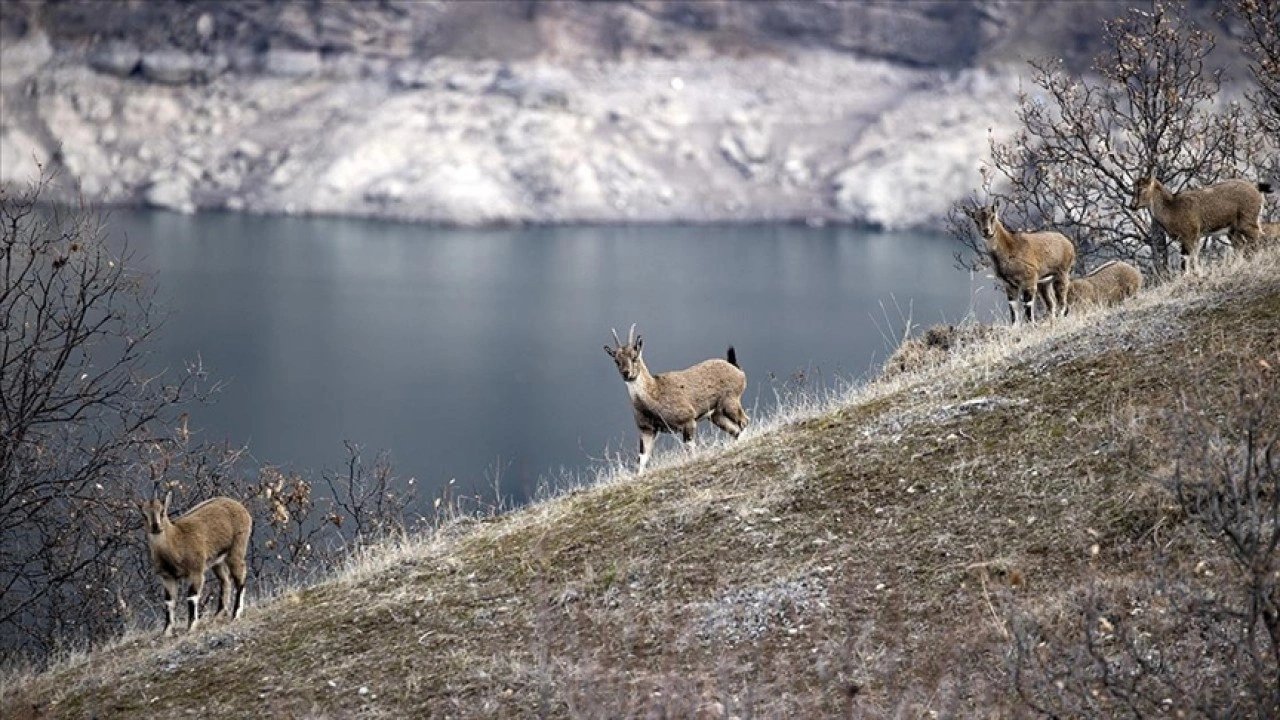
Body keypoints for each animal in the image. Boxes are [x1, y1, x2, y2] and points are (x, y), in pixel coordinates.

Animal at [140, 486, 252, 632]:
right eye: (144, 514)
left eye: (162, 511)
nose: (155, 527)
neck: (175, 543)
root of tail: (240, 507)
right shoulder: (167, 577)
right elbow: (169, 602)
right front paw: (167, 631)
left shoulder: (196, 570)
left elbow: (191, 596)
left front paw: (191, 626)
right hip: (217, 561)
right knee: (225, 580)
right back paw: (216, 616)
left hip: (236, 549)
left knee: (240, 578)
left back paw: (235, 615)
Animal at [601, 324, 747, 471]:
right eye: (616, 361)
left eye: (634, 357)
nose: (626, 373)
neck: (654, 393)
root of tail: (736, 368)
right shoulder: (647, 430)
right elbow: (641, 459)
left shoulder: (688, 422)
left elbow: (690, 449)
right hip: (716, 415)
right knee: (735, 431)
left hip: (730, 401)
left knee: (744, 422)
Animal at [1131, 175, 1269, 272]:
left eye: (1141, 188)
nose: (1132, 205)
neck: (1172, 209)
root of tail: (1256, 190)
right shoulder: (1187, 239)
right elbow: (1187, 259)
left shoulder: (1191, 235)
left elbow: (1192, 258)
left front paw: (1197, 274)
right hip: (1233, 231)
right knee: (1241, 246)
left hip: (1247, 222)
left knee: (1260, 237)